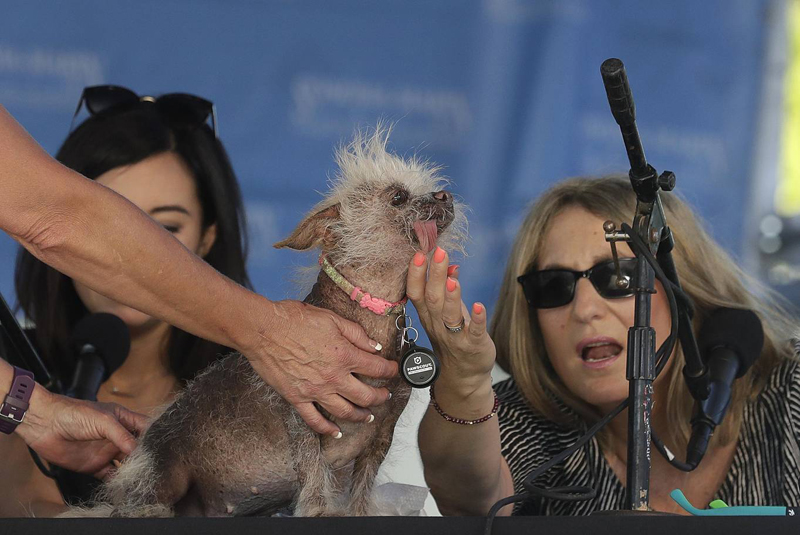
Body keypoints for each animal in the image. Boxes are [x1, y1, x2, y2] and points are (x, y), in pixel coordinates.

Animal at [73, 127, 468, 516]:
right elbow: (314, 483)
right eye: (398, 197)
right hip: (159, 476)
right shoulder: (306, 417)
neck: (372, 320)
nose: (444, 194)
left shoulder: (380, 437)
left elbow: (360, 496)